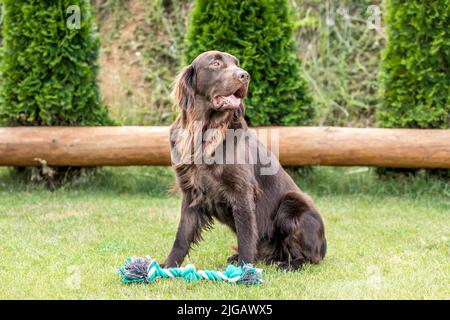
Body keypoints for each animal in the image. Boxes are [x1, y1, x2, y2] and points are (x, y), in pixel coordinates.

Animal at [163, 50, 326, 270]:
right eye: (215, 63)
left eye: (237, 63)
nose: (245, 75)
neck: (206, 131)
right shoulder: (191, 193)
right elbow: (181, 237)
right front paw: (166, 267)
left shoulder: (242, 191)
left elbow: (246, 236)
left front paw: (245, 270)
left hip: (291, 204)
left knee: (309, 258)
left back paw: (287, 265)